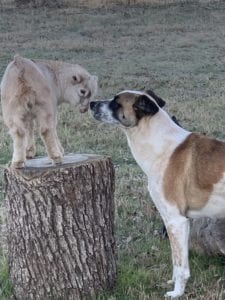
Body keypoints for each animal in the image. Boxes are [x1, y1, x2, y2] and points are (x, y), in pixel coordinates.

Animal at [90, 90, 225, 298]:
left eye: (116, 103)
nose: (91, 104)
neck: (162, 147)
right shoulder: (179, 222)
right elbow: (176, 260)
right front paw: (173, 282)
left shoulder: (176, 221)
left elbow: (181, 266)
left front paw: (177, 292)